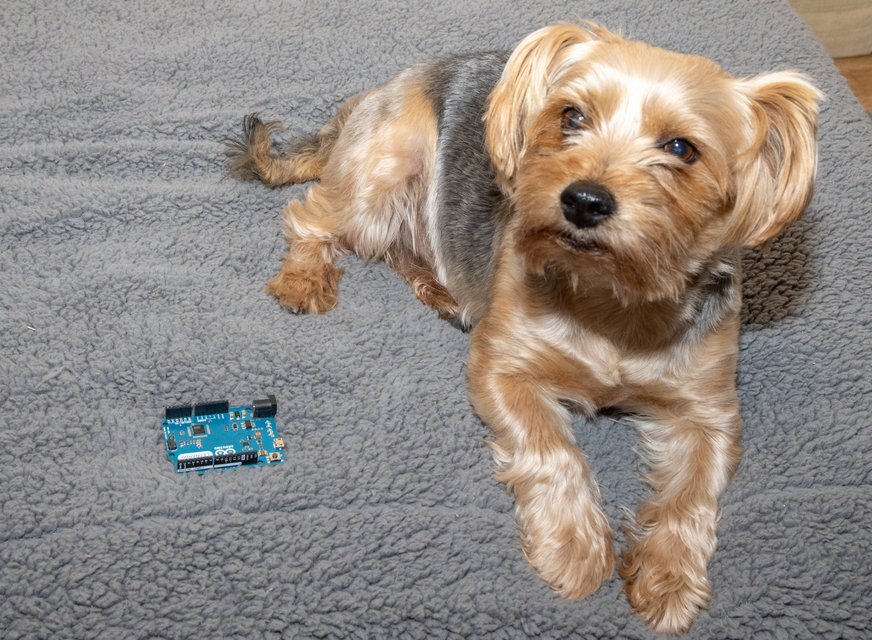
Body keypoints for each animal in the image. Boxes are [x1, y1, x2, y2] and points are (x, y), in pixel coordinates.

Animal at [225, 22, 821, 634]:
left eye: (682, 148)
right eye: (571, 116)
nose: (584, 199)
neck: (612, 295)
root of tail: (380, 89)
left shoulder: (709, 411)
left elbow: (693, 495)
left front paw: (670, 579)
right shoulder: (502, 369)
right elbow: (552, 449)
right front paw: (575, 551)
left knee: (400, 245)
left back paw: (442, 291)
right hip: (385, 166)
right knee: (314, 217)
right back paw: (304, 278)